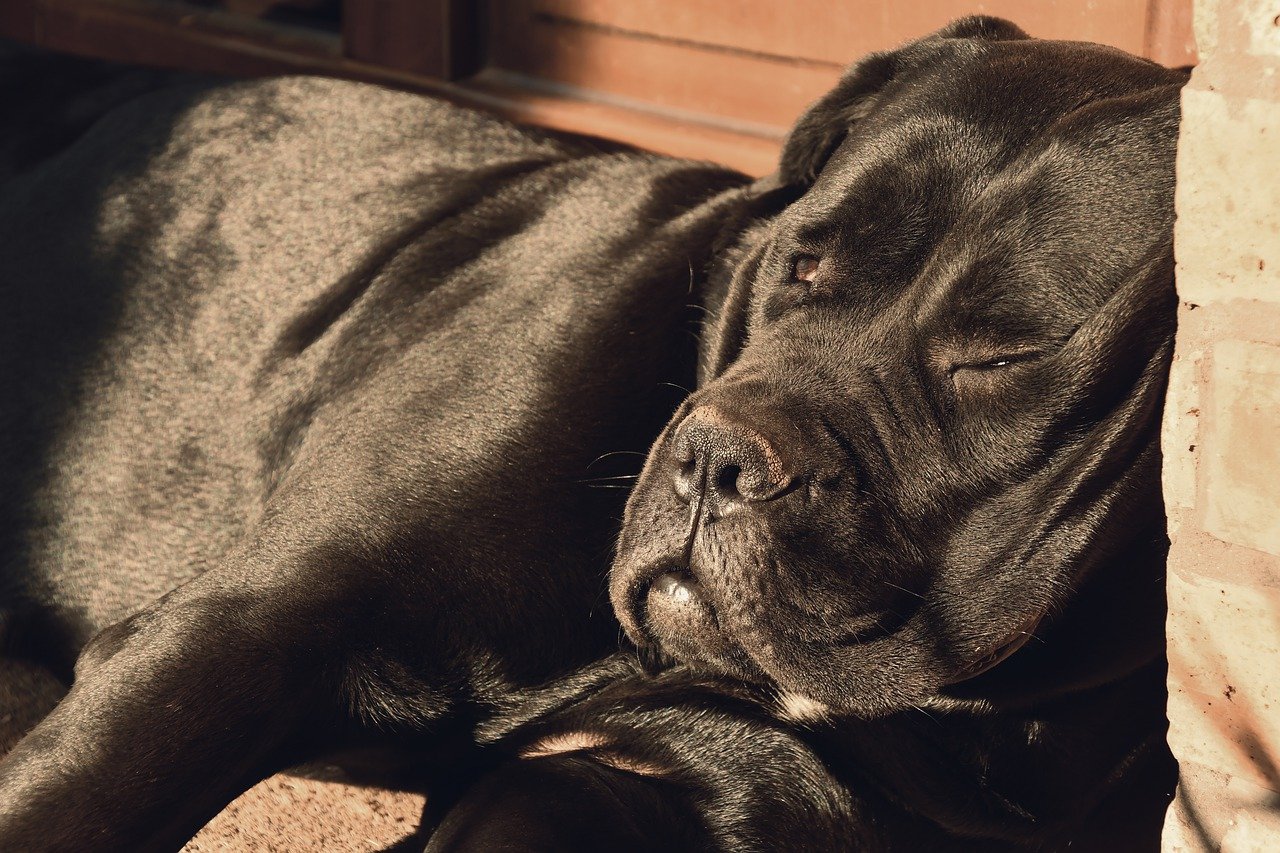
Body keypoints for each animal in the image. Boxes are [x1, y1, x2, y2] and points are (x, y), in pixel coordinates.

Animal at [0, 14, 1182, 850]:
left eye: (1001, 354)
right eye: (803, 262)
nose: (717, 458)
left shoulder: (666, 789)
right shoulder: (250, 625)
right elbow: (79, 800)